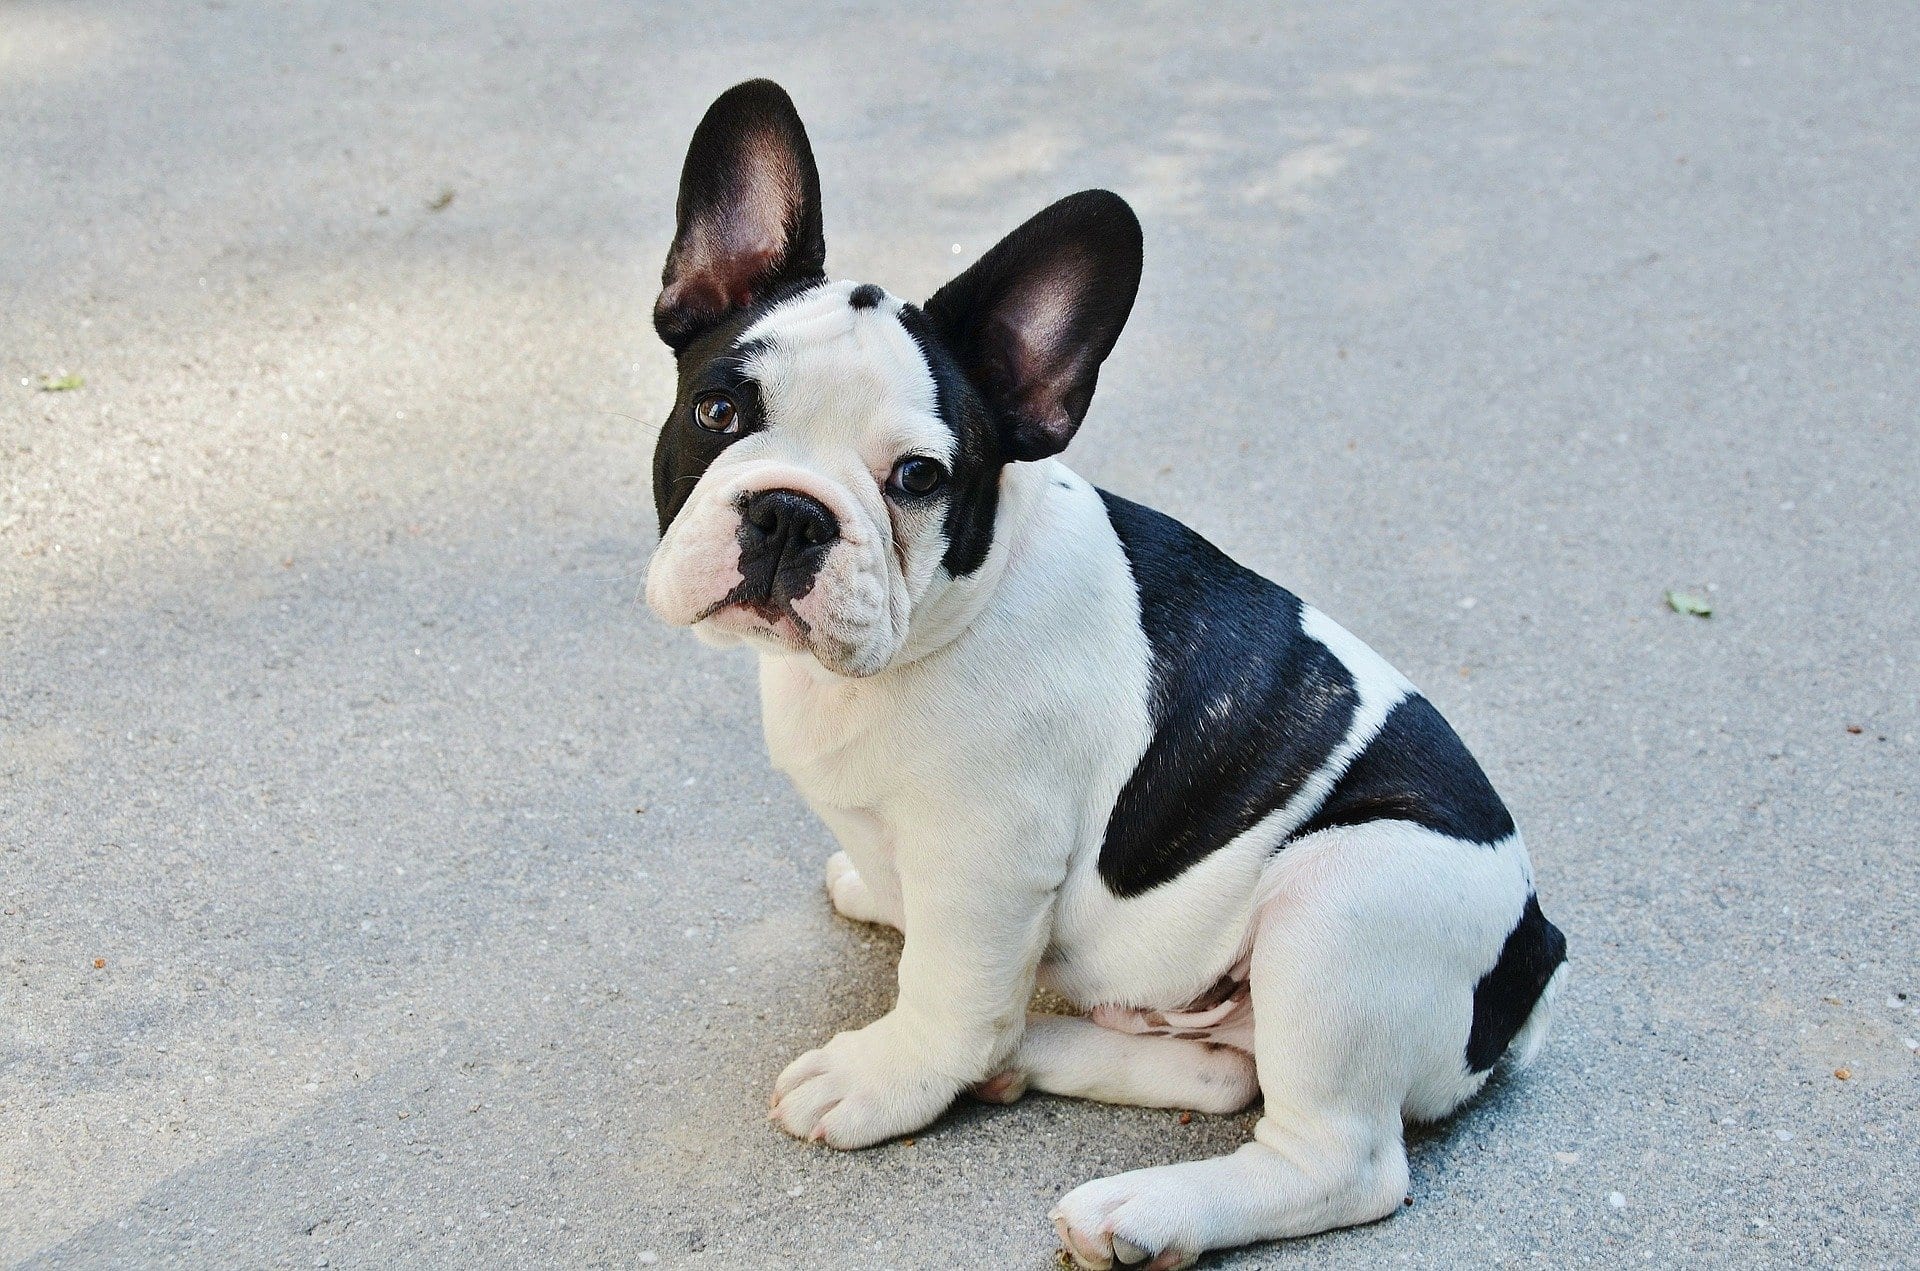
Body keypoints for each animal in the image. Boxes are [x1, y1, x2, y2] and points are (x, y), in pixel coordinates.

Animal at [645, 82, 1574, 1271]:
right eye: (718, 411)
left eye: (919, 477)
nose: (789, 511)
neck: (938, 619)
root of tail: (1534, 951)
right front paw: (879, 895)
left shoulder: (987, 857)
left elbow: (948, 987)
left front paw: (885, 1074)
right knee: (1222, 1072)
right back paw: (1033, 1058)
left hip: (1346, 897)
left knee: (1341, 1159)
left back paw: (1142, 1207)